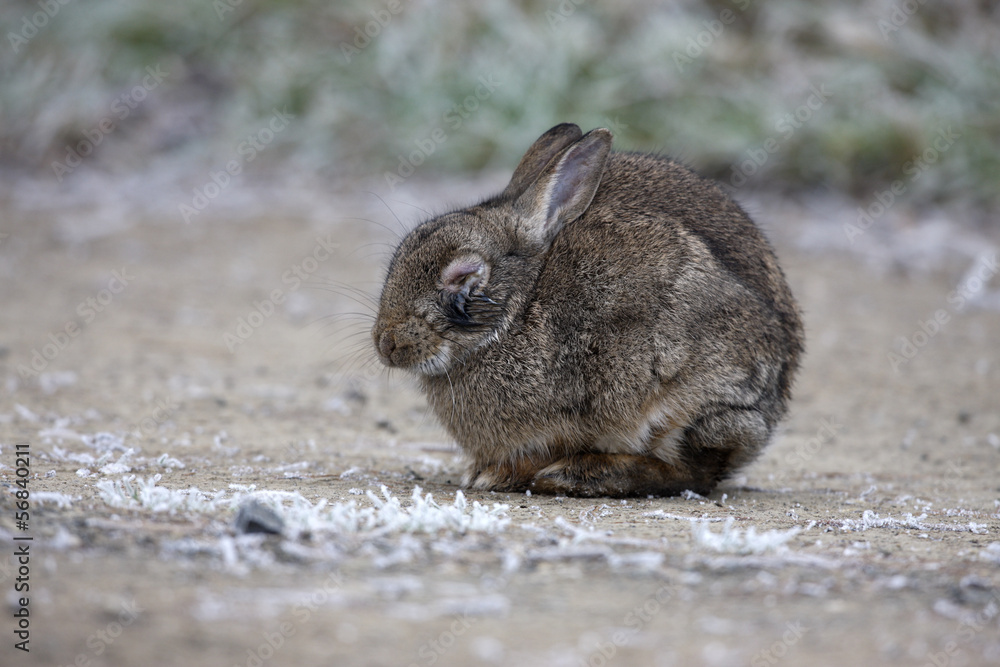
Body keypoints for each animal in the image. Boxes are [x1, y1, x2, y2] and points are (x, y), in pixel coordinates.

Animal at [372, 123, 804, 497]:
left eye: (462, 277)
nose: (386, 344)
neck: (520, 306)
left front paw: (496, 475)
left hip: (688, 399)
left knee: (693, 473)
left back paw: (579, 475)